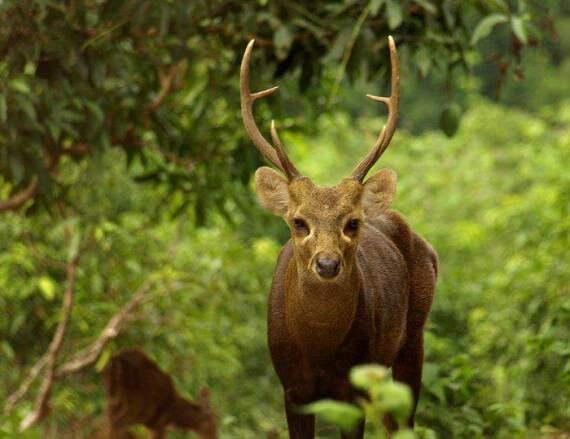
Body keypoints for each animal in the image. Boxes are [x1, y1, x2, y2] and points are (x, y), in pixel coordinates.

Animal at [239, 37, 434, 439]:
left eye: (353, 222)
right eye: (299, 222)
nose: (327, 263)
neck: (320, 348)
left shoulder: (354, 388)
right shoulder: (292, 387)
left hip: (413, 338)